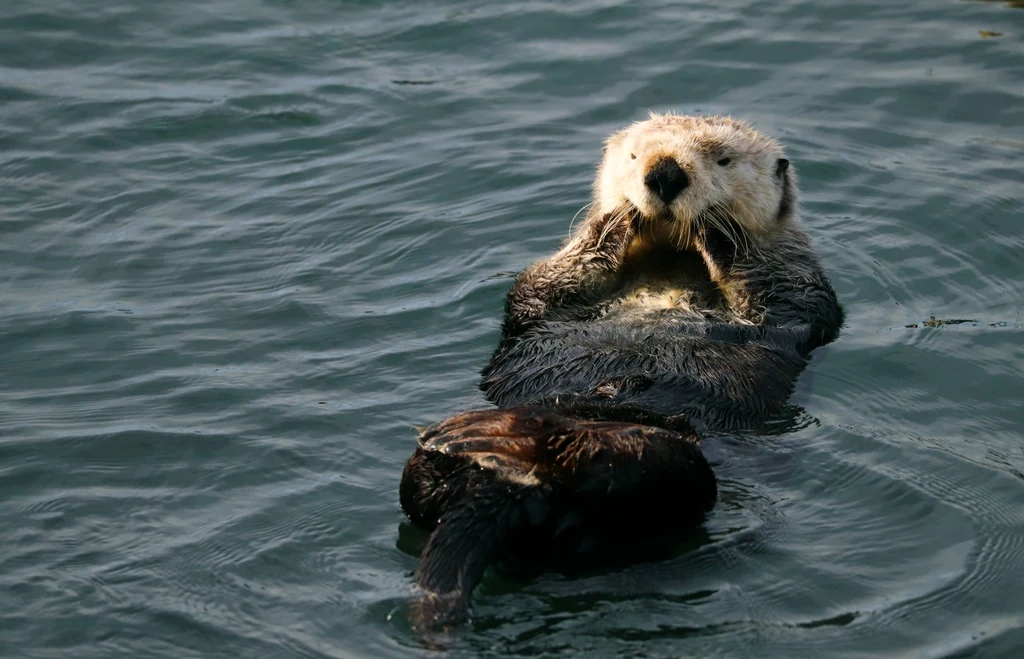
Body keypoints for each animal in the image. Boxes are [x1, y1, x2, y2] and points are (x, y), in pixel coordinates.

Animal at [397, 113, 839, 626]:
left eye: (723, 159)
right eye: (633, 156)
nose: (664, 171)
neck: (673, 266)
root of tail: (510, 486)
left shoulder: (802, 288)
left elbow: (777, 292)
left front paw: (722, 234)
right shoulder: (541, 300)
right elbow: (539, 285)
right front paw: (611, 224)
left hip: (671, 475)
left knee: (626, 467)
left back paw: (523, 436)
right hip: (431, 474)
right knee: (420, 490)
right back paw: (480, 434)